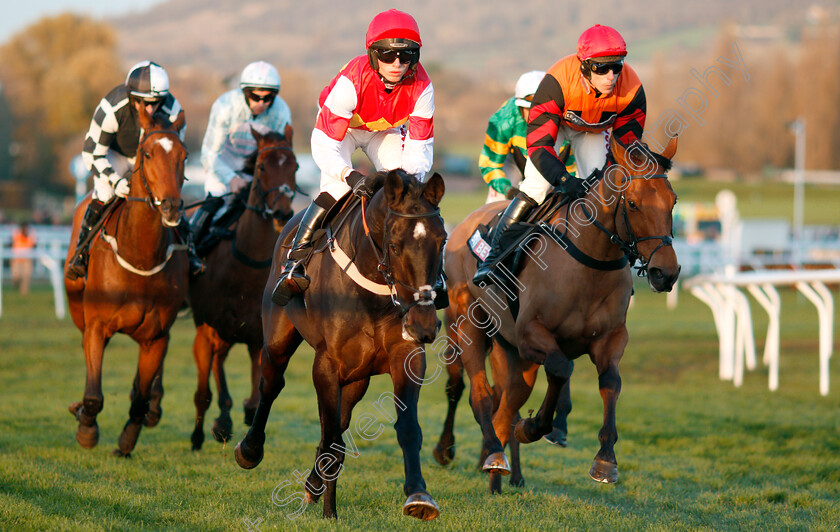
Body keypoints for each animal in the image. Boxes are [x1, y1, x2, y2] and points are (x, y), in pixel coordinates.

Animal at [66, 108, 190, 458]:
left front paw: (126, 441)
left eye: (184, 155)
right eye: (147, 154)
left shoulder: (156, 336)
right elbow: (94, 394)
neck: (141, 256)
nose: (171, 206)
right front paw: (86, 429)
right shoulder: (96, 326)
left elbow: (140, 398)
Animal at [190, 124, 298, 448]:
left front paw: (245, 417)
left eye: (295, 166)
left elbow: (254, 397)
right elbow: (210, 387)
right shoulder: (211, 327)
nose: (282, 213)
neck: (247, 266)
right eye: (261, 166)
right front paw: (216, 427)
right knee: (209, 372)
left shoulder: (257, 334)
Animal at [235, 169, 446, 520]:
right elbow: (332, 439)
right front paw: (330, 514)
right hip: (279, 336)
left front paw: (419, 496)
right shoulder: (326, 366)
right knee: (272, 384)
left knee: (337, 422)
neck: (372, 294)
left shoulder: (408, 357)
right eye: (393, 244)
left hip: (356, 377)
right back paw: (250, 450)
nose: (424, 324)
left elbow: (406, 428)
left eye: (441, 240)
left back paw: (313, 485)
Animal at [436, 135, 680, 492]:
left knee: (504, 407)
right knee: (477, 395)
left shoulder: (609, 338)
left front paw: (605, 459)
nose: (666, 272)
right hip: (467, 327)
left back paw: (500, 472)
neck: (590, 262)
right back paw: (476, 453)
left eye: (673, 201)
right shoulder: (531, 334)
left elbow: (610, 382)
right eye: (633, 203)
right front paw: (535, 427)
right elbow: (562, 370)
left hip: (509, 351)